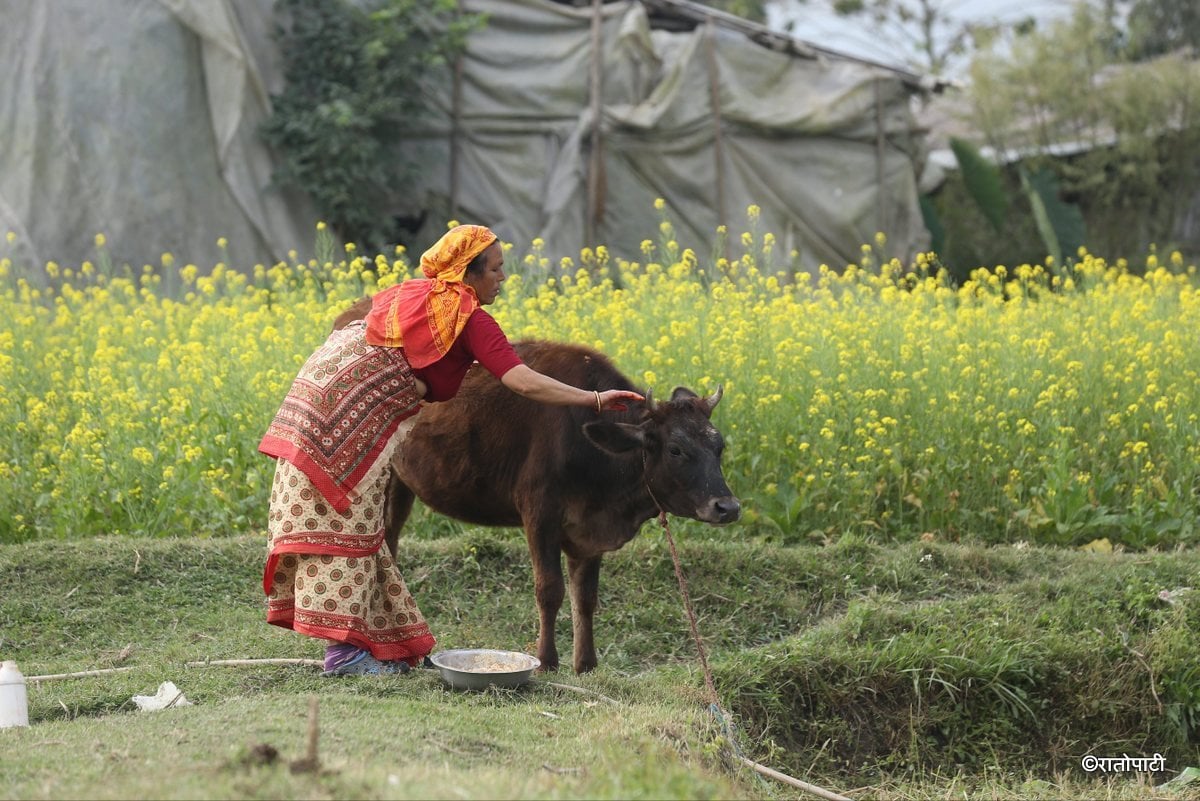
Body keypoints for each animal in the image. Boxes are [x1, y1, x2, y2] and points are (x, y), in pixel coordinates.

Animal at [384, 340, 739, 671]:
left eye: (719, 446)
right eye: (675, 449)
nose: (728, 507)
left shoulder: (590, 532)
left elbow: (585, 597)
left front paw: (586, 663)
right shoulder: (539, 514)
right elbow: (550, 589)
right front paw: (546, 659)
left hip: (401, 483)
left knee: (390, 537)